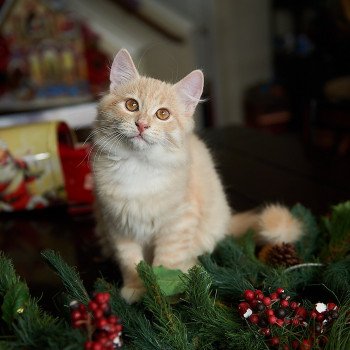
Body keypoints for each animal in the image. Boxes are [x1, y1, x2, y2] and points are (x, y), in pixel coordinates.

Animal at [92, 49, 300, 304]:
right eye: (131, 105)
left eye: (163, 114)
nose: (141, 125)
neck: (138, 166)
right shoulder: (117, 225)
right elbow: (131, 262)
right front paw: (136, 288)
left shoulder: (178, 221)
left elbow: (166, 262)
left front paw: (162, 293)